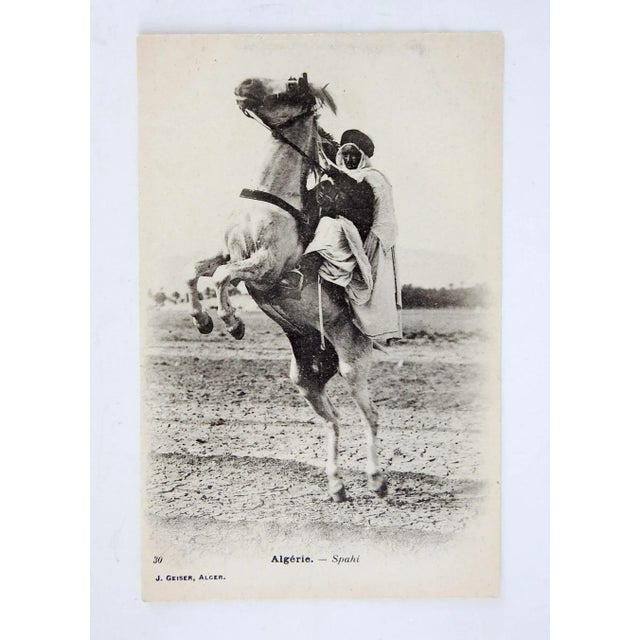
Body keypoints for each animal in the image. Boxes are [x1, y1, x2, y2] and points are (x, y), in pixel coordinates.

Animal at [186, 73, 387, 502]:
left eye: (292, 85)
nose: (242, 85)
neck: (270, 199)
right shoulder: (228, 252)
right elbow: (196, 272)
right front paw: (202, 321)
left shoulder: (265, 268)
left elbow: (223, 277)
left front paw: (233, 323)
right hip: (306, 381)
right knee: (333, 420)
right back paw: (336, 485)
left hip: (352, 367)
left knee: (371, 416)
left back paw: (377, 480)